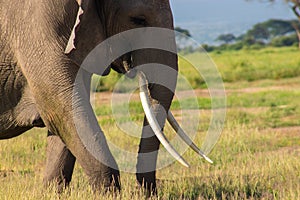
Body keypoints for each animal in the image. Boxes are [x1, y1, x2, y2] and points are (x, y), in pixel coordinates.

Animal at [0, 0, 211, 195]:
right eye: (138, 20)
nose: (146, 193)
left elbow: (66, 118)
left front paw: (52, 194)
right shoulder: (38, 29)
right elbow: (64, 111)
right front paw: (110, 195)